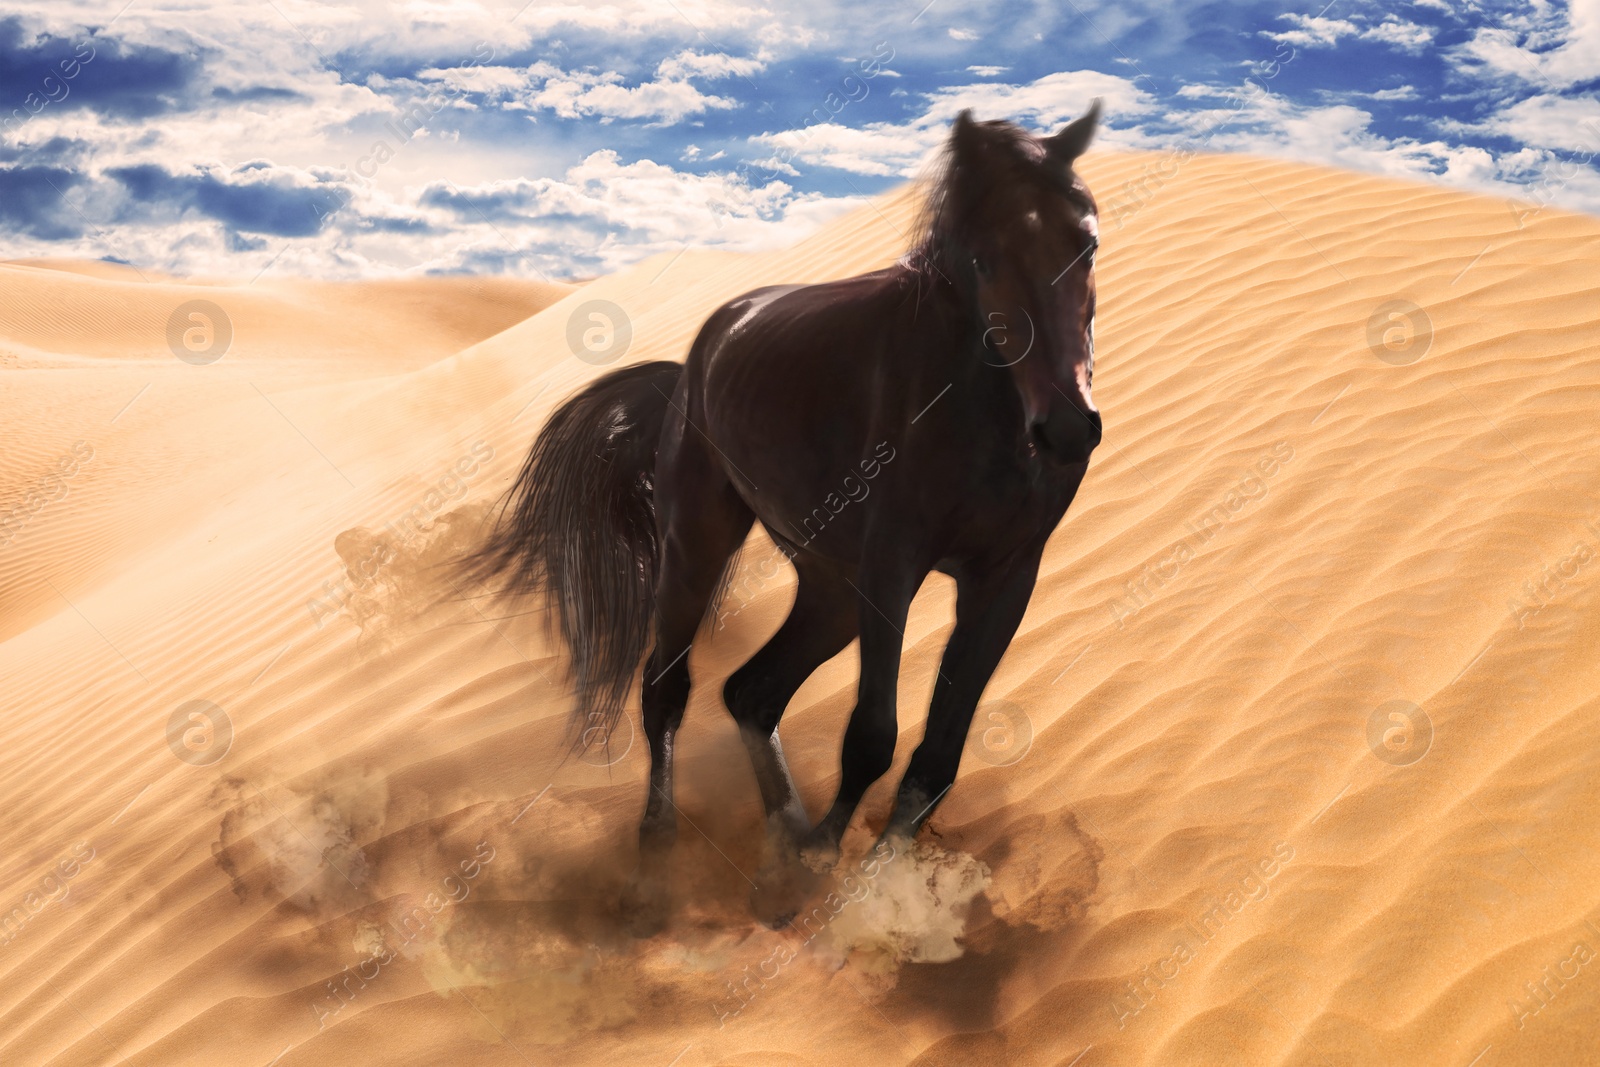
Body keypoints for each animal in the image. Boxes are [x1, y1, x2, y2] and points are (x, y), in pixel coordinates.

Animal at [467, 102, 1107, 934]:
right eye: (984, 258)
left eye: (1086, 243)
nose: (1067, 429)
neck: (978, 410)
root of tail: (693, 361)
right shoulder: (892, 570)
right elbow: (873, 735)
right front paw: (830, 874)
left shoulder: (1004, 581)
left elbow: (936, 757)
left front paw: (869, 891)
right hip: (701, 544)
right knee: (667, 690)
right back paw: (657, 877)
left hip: (829, 585)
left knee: (752, 692)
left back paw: (780, 854)